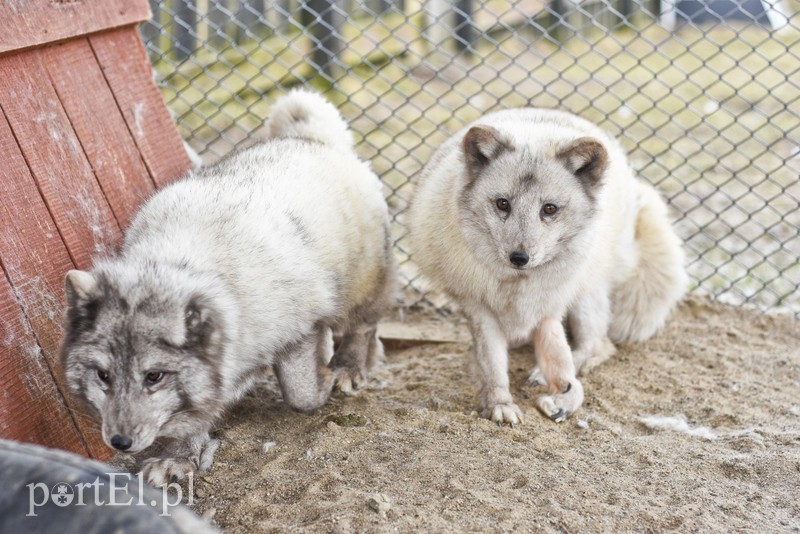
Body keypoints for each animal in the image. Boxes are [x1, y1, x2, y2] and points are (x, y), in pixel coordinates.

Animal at [58, 91, 394, 486]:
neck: (183, 263)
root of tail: (311, 138)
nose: (119, 442)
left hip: (363, 283)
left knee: (363, 324)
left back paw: (348, 367)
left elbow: (301, 395)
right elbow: (192, 417)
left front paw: (324, 383)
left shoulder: (297, 330)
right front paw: (179, 457)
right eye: (103, 375)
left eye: (154, 376)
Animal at [412, 109, 688, 428]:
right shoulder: (479, 309)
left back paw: (545, 373)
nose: (519, 257)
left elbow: (561, 358)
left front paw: (563, 394)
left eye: (549, 209)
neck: (517, 284)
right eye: (502, 204)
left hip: (585, 291)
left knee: (600, 343)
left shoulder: (549, 307)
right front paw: (500, 404)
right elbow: (492, 364)